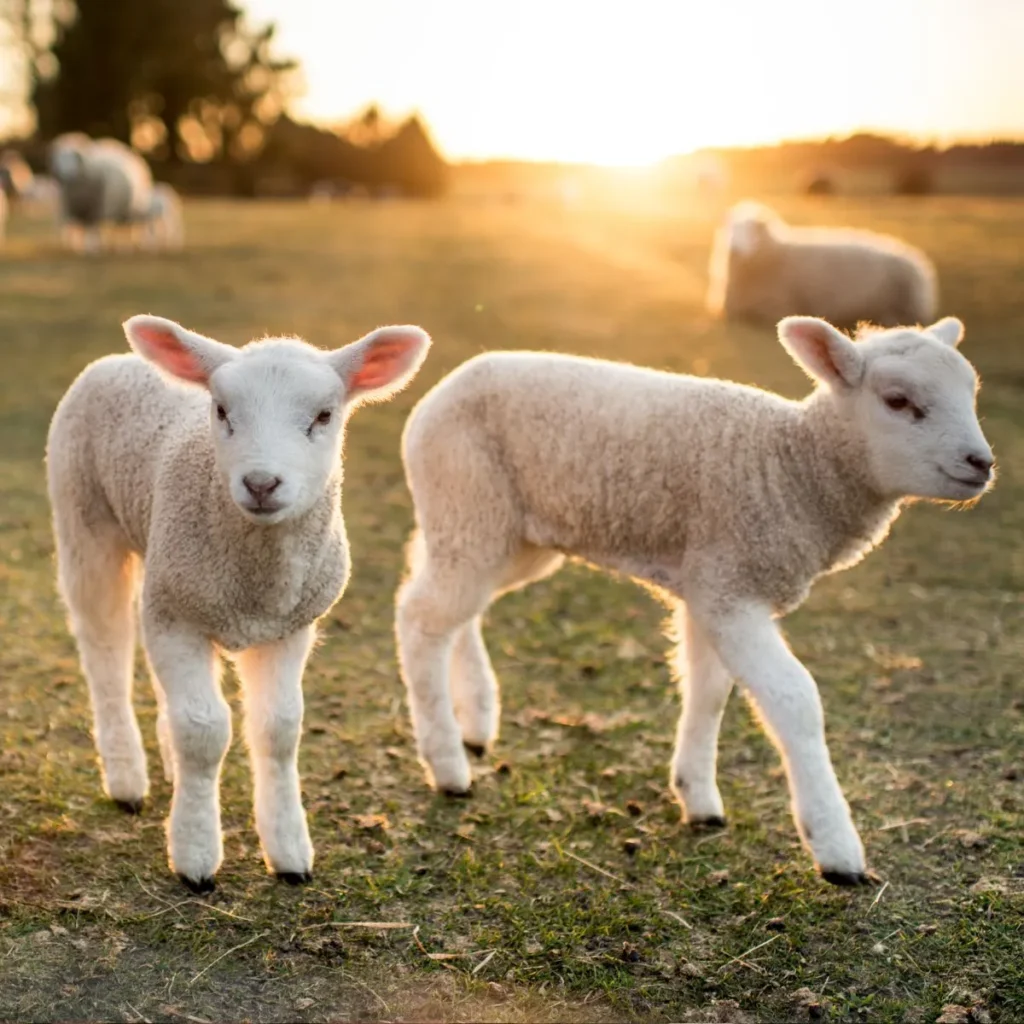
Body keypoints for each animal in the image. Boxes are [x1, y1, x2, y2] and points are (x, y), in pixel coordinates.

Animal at [47, 315, 430, 891]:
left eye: (324, 415)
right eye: (222, 411)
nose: (262, 483)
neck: (256, 584)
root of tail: (120, 359)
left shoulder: (287, 625)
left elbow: (278, 729)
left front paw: (290, 852)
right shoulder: (179, 616)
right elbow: (204, 731)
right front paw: (195, 855)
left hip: (161, 568)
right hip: (85, 522)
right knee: (105, 652)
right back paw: (126, 778)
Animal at [394, 315, 994, 885]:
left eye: (971, 392)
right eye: (897, 401)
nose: (981, 463)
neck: (794, 466)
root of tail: (449, 383)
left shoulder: (711, 584)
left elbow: (708, 690)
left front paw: (698, 797)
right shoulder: (730, 587)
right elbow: (794, 700)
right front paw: (835, 846)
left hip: (507, 534)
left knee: (456, 607)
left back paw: (475, 721)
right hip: (469, 501)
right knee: (421, 617)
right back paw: (447, 764)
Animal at [707, 201, 938, 329]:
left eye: (751, 231)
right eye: (731, 229)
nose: (734, 248)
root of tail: (918, 261)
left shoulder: (778, 306)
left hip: (903, 304)